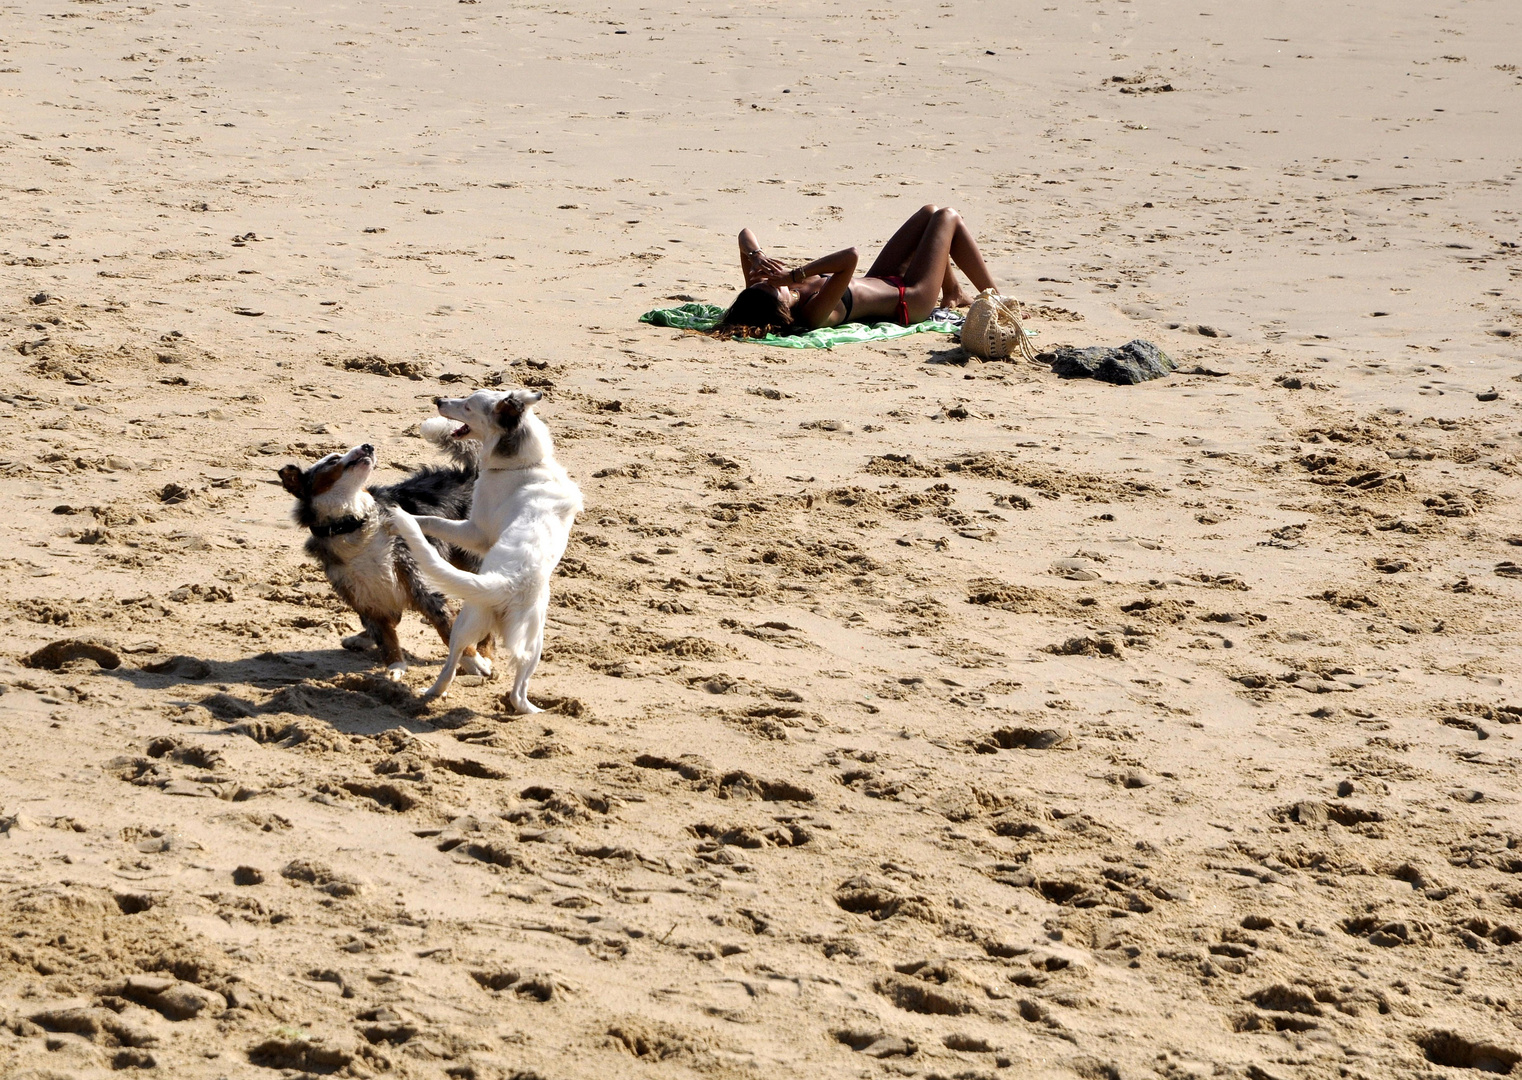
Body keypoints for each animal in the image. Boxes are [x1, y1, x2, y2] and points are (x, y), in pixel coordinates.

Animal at [386, 389, 581, 711]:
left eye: (467, 406)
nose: (439, 400)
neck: (525, 464)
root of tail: (507, 583)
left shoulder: (475, 532)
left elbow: (433, 521)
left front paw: (398, 520)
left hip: (465, 621)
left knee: (452, 663)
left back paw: (432, 692)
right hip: (533, 643)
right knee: (517, 691)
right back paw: (529, 710)